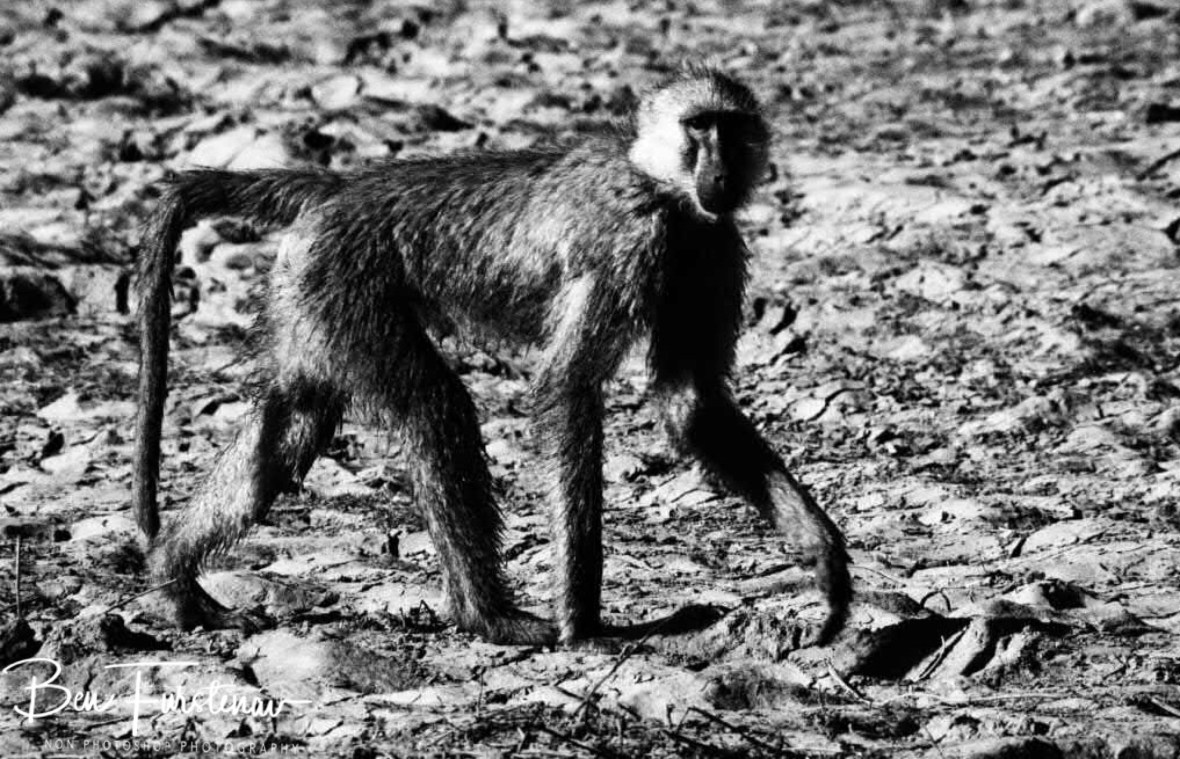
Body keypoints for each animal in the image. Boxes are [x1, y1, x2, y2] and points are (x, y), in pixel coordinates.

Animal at [133, 66, 851, 647]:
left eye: (733, 128)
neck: (661, 186)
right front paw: (580, 619)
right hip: (341, 274)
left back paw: (176, 580)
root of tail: (339, 188)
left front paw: (824, 562)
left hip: (308, 287)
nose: (721, 172)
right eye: (698, 127)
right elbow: (567, 386)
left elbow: (691, 404)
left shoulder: (713, 245)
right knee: (432, 407)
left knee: (293, 423)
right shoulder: (630, 239)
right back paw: (488, 616)